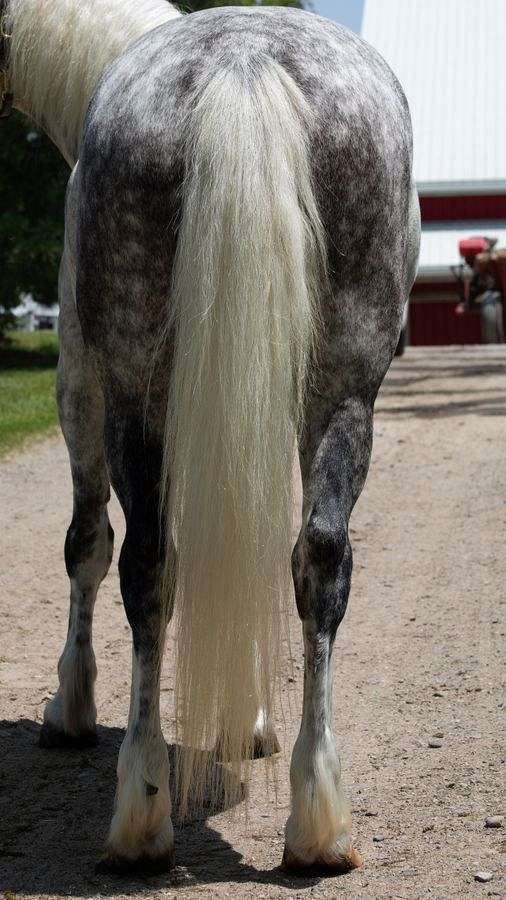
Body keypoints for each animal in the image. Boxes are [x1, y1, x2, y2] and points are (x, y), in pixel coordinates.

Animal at [1, 0, 420, 876]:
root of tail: (243, 60)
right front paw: (247, 721)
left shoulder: (78, 377)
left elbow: (84, 545)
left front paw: (70, 704)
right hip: (338, 390)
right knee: (318, 559)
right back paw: (318, 824)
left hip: (130, 394)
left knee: (144, 564)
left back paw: (140, 810)